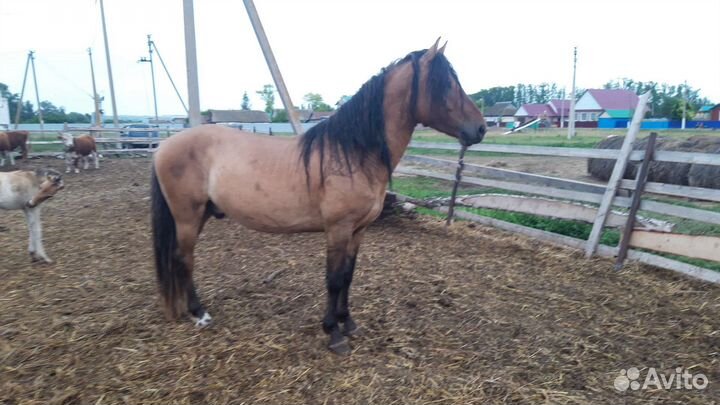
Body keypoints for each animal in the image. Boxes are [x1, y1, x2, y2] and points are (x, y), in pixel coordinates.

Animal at [151, 39, 487, 354]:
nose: (481, 129)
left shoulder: (359, 230)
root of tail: (165, 146)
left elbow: (348, 276)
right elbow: (333, 279)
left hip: (201, 214)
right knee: (184, 258)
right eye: (446, 83)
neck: (352, 153)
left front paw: (348, 323)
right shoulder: (338, 229)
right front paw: (333, 333)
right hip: (188, 216)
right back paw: (199, 314)